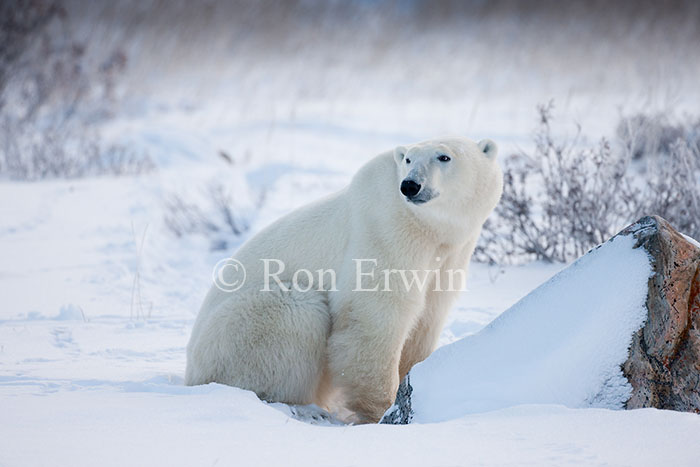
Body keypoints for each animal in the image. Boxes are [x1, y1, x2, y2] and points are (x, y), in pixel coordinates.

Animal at [185, 136, 503, 423]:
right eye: (408, 159)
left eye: (444, 157)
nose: (410, 185)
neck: (427, 229)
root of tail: (191, 372)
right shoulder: (385, 233)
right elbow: (375, 317)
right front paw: (381, 411)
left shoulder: (450, 256)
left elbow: (426, 320)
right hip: (233, 336)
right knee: (296, 312)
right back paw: (305, 408)